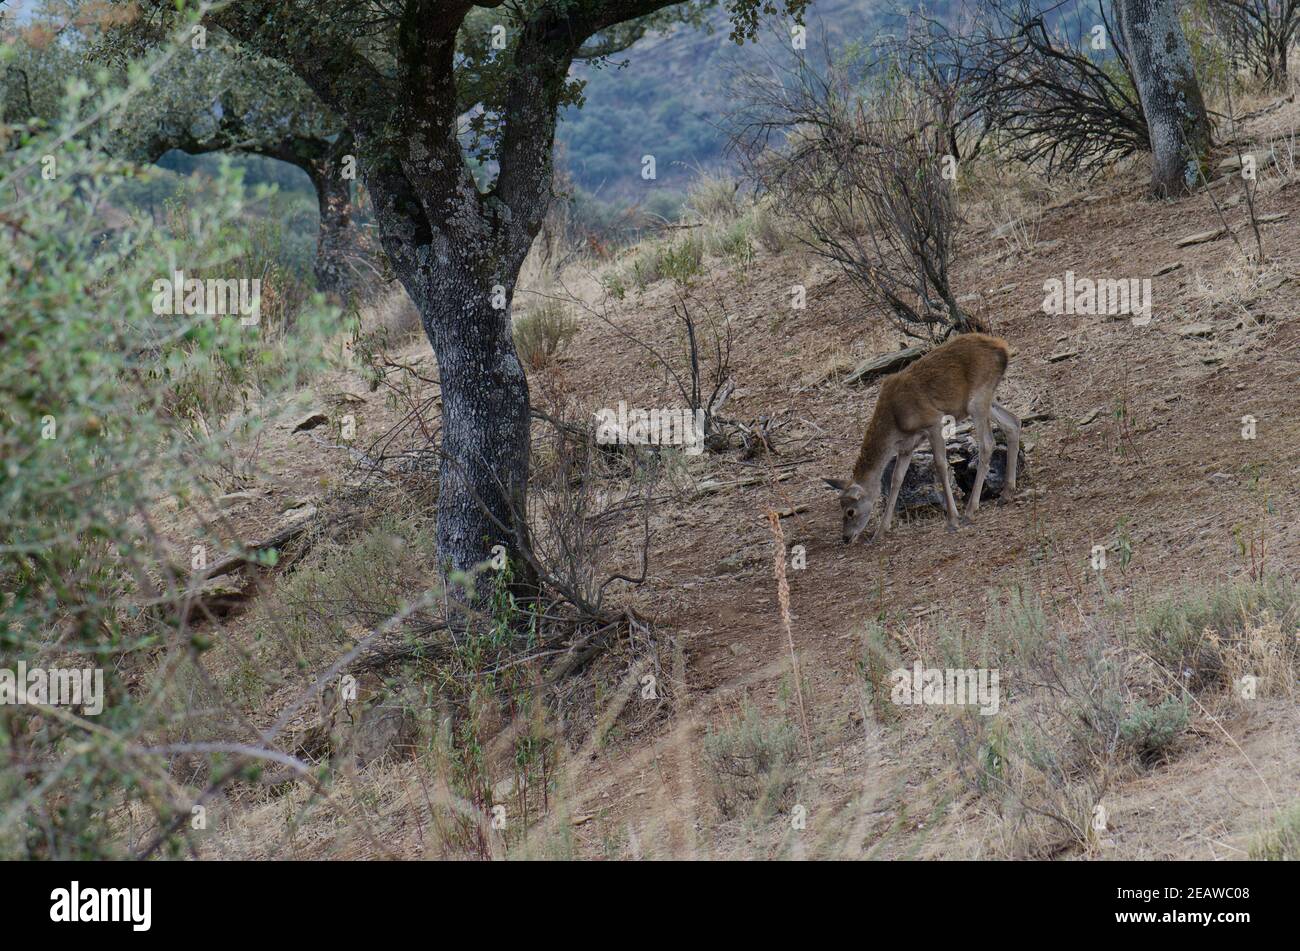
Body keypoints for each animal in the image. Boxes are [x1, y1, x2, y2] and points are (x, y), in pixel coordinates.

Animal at [821, 332, 1024, 543]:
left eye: (850, 511)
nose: (846, 538)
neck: (895, 424)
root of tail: (1003, 348)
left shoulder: (933, 421)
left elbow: (941, 465)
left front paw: (952, 519)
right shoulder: (907, 447)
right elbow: (896, 479)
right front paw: (880, 531)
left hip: (977, 398)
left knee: (988, 443)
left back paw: (970, 511)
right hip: (983, 398)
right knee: (1013, 422)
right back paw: (1006, 493)